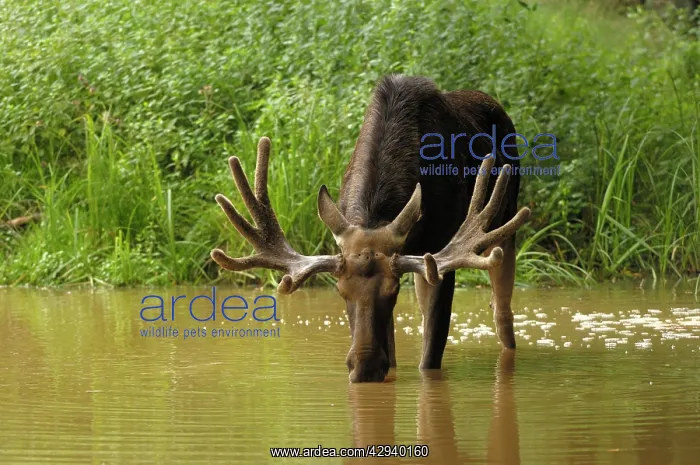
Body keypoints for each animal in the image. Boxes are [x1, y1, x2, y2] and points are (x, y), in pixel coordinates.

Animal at [211, 75, 530, 383]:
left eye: (393, 291)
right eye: (340, 291)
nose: (364, 368)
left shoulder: (438, 258)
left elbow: (430, 358)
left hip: (504, 225)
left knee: (503, 311)